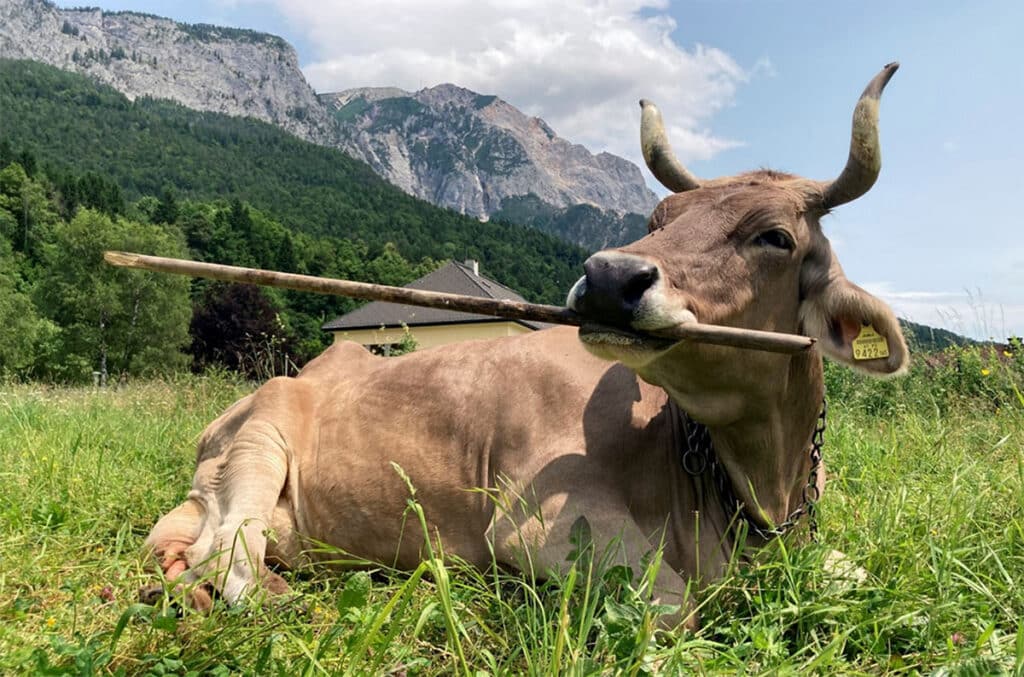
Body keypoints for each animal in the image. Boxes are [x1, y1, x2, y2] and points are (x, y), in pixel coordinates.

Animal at [142, 63, 908, 629]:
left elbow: (863, 572)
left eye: (775, 236)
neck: (758, 488)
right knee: (228, 556)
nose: (609, 277)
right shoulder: (539, 524)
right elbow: (677, 607)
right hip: (260, 439)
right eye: (658, 218)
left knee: (187, 546)